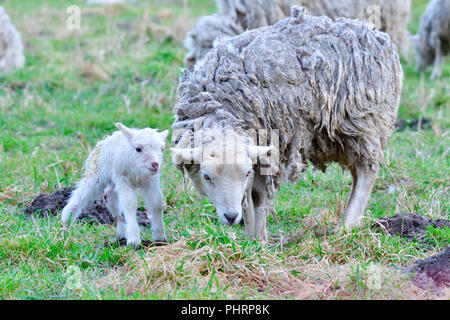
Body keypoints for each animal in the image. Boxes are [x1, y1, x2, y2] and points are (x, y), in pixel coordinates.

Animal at [173, 6, 404, 240]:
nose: (230, 216)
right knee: (356, 172)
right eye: (206, 176)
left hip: (363, 120)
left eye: (244, 173)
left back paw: (347, 226)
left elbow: (257, 195)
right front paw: (250, 237)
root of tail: (376, 34)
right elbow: (247, 198)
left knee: (367, 171)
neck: (220, 109)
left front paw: (258, 239)